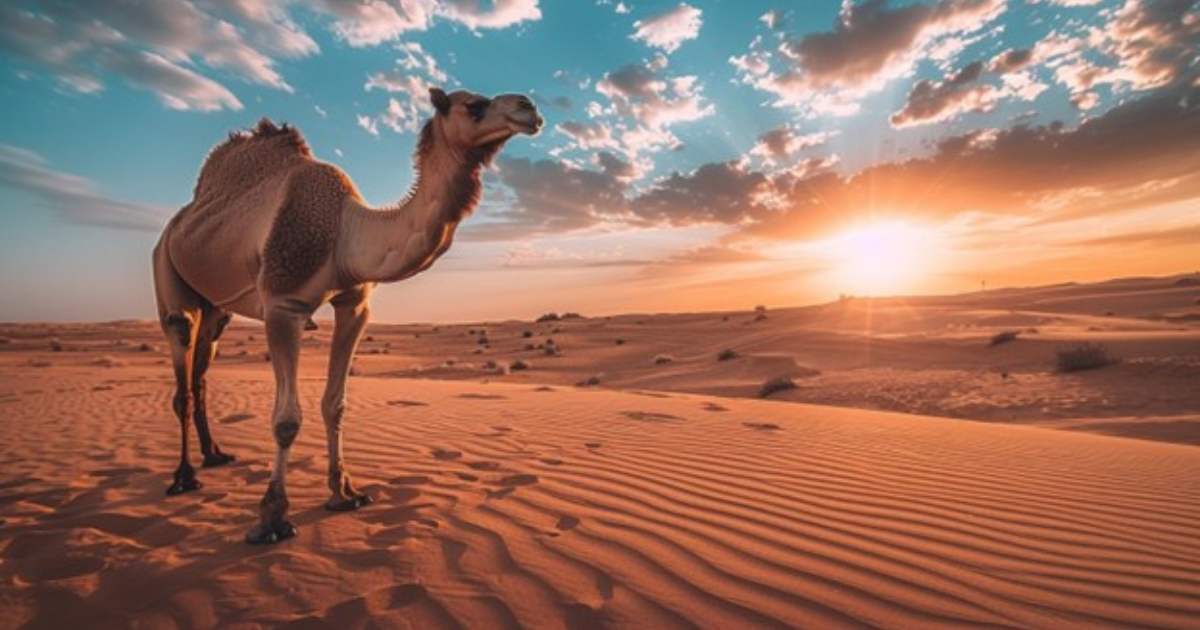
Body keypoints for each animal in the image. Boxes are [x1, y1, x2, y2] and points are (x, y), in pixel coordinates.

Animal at [152, 88, 542, 544]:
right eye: (473, 105)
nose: (529, 107)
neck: (345, 232)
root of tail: (176, 224)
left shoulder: (354, 304)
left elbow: (335, 404)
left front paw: (345, 493)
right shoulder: (283, 304)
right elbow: (286, 419)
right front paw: (271, 517)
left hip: (216, 309)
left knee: (201, 370)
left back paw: (214, 455)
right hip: (167, 272)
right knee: (181, 362)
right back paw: (183, 477)